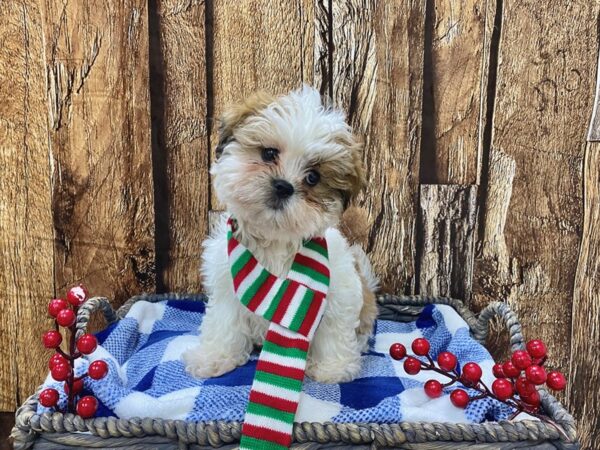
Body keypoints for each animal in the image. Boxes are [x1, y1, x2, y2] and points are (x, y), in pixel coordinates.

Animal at [183, 85, 378, 384]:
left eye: (313, 177)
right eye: (269, 153)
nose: (283, 186)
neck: (273, 240)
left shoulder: (337, 290)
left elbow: (333, 327)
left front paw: (332, 368)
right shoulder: (226, 284)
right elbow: (224, 322)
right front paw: (215, 357)